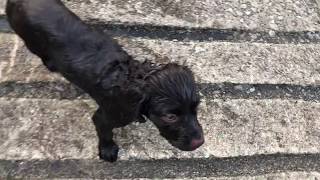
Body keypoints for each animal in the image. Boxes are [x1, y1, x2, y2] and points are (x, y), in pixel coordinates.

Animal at [6, 0, 204, 162]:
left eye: (196, 108)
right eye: (170, 117)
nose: (200, 142)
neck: (131, 77)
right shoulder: (107, 116)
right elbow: (106, 133)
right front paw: (107, 150)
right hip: (30, 41)